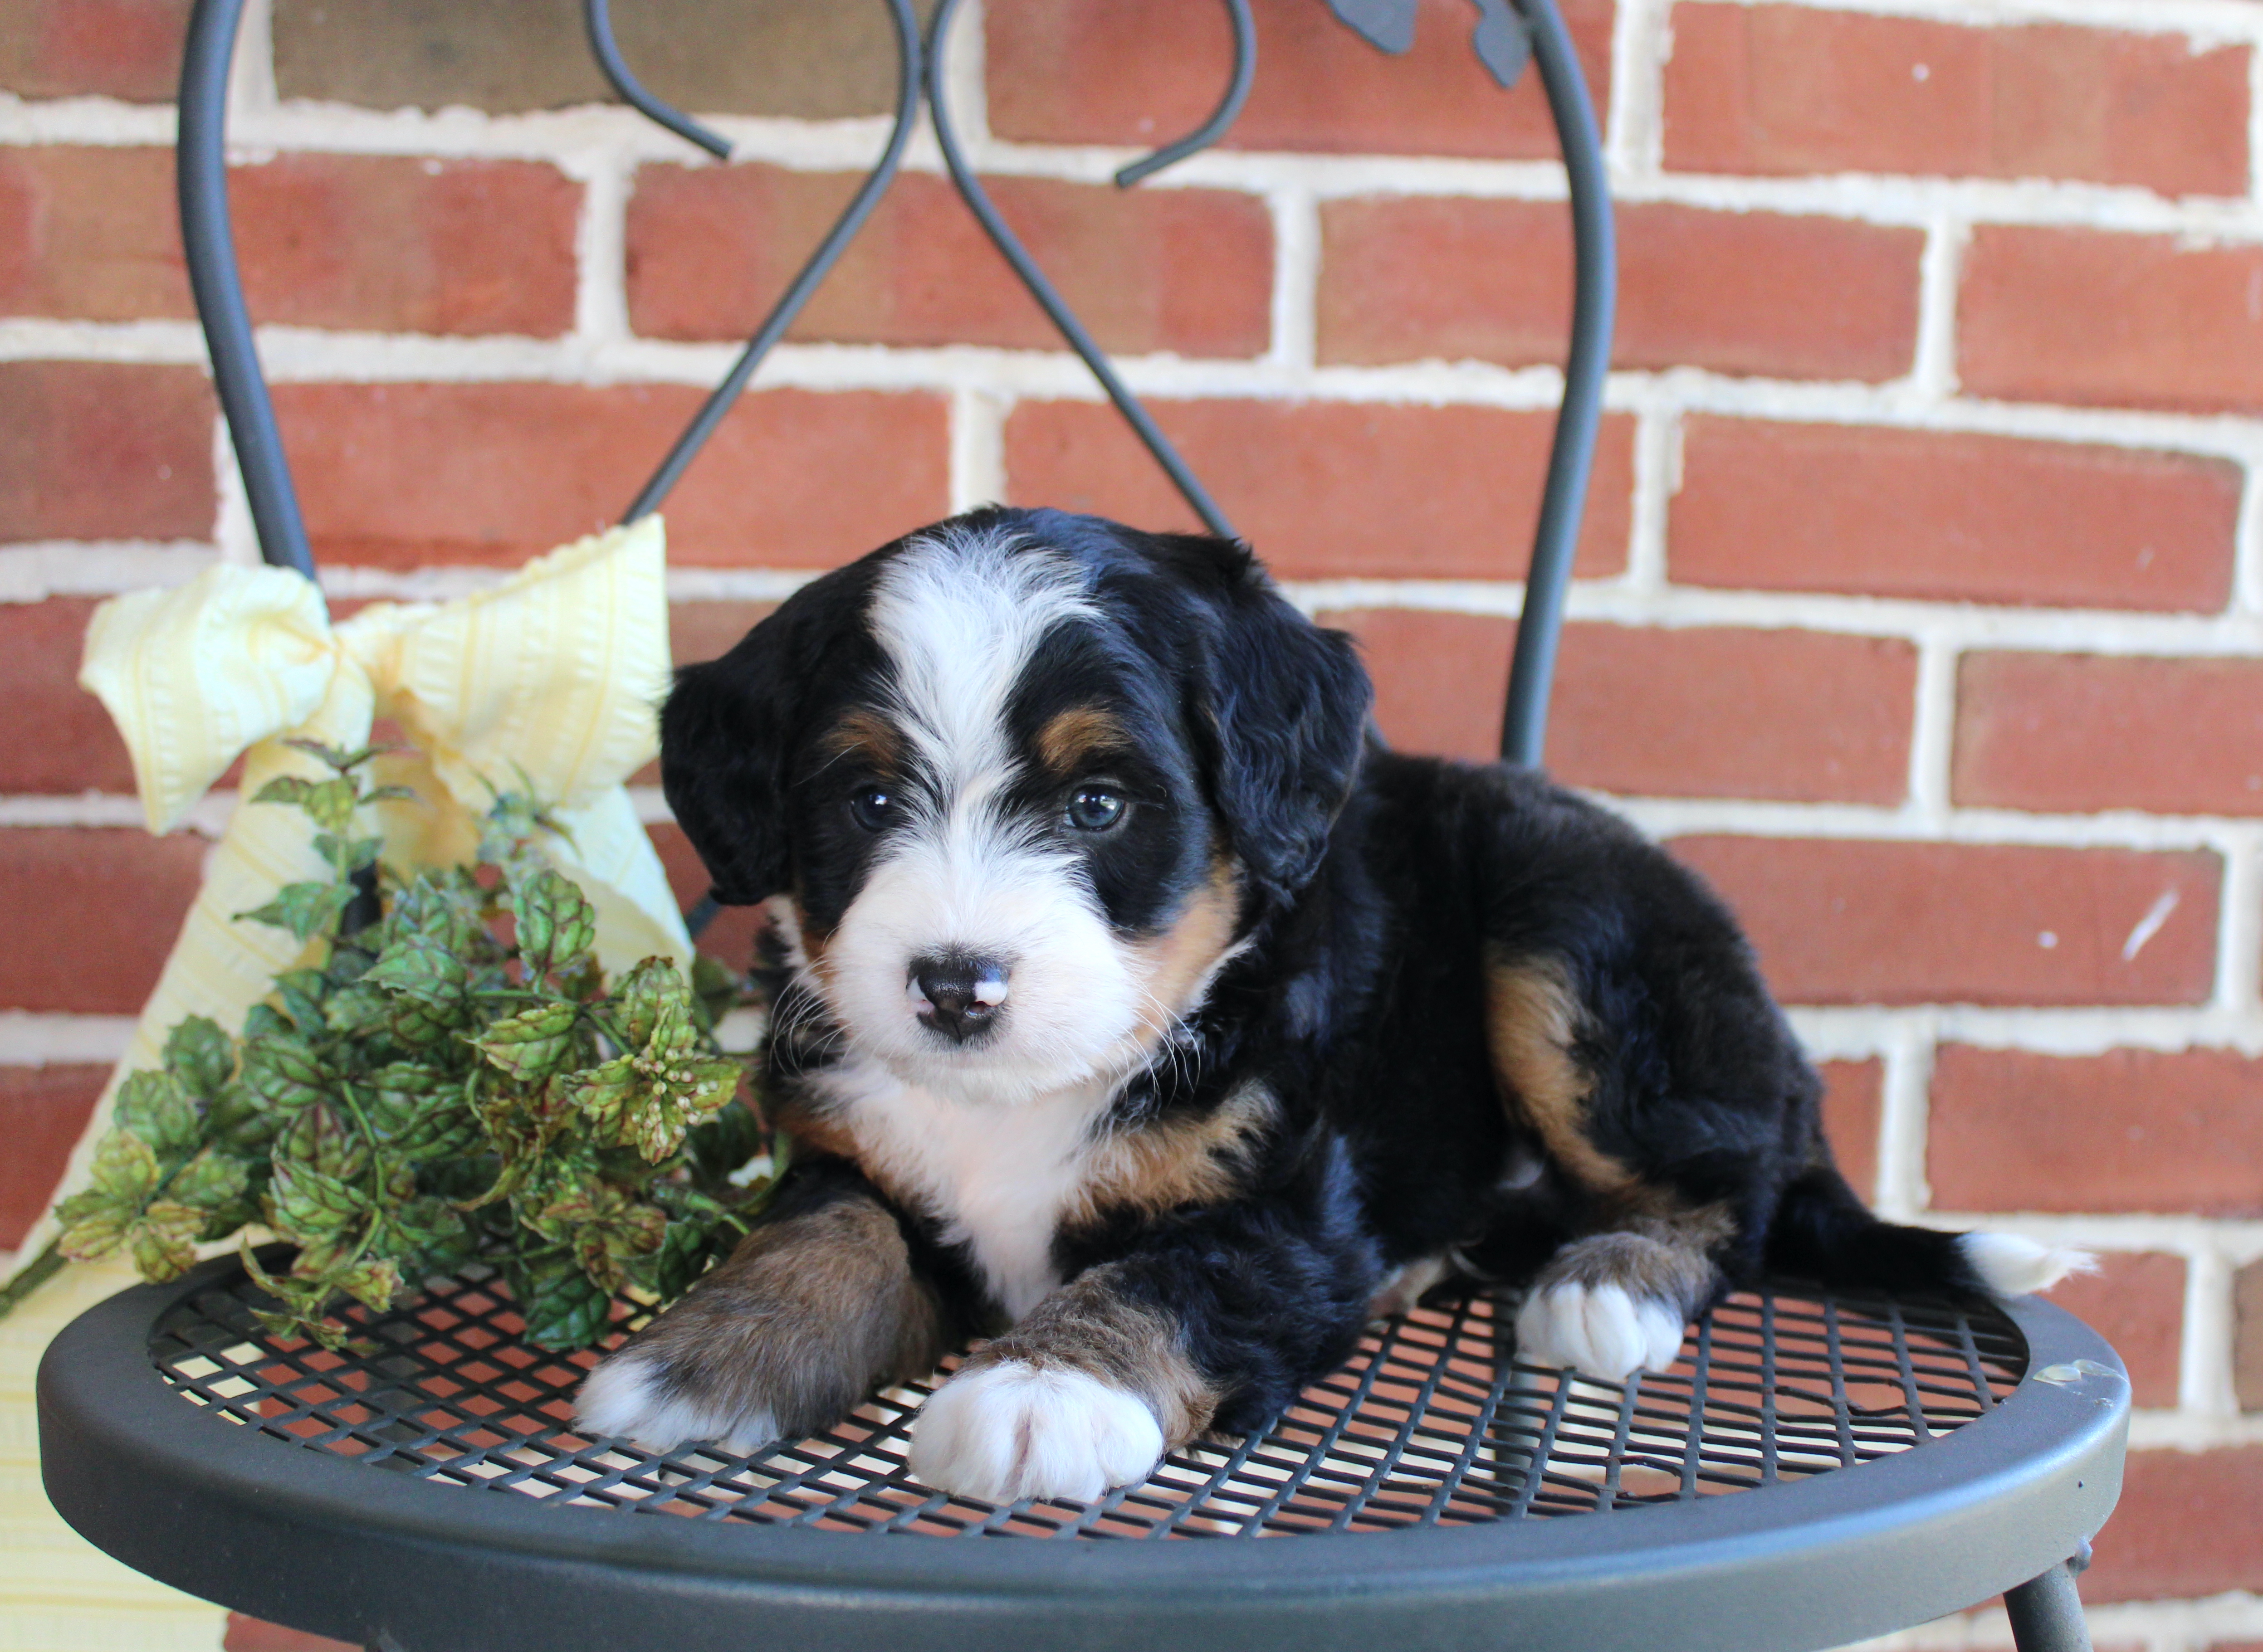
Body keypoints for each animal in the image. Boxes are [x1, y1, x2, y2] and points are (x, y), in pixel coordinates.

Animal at [579, 509, 2082, 1502]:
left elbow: (1170, 1274)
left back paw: (1610, 1286)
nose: (954, 982)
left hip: (1568, 930)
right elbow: (825, 1235)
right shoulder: (851, 1148)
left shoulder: (1292, 1201)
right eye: (869, 800)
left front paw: (1039, 1391)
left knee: (1732, 1190)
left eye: (1098, 803)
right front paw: (703, 1357)